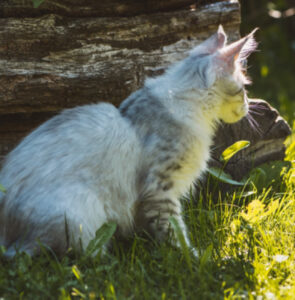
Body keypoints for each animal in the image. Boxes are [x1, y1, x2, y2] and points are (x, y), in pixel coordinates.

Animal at [0, 25, 258, 258]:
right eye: (243, 89)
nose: (248, 106)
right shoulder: (160, 188)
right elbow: (174, 231)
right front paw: (193, 257)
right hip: (77, 212)